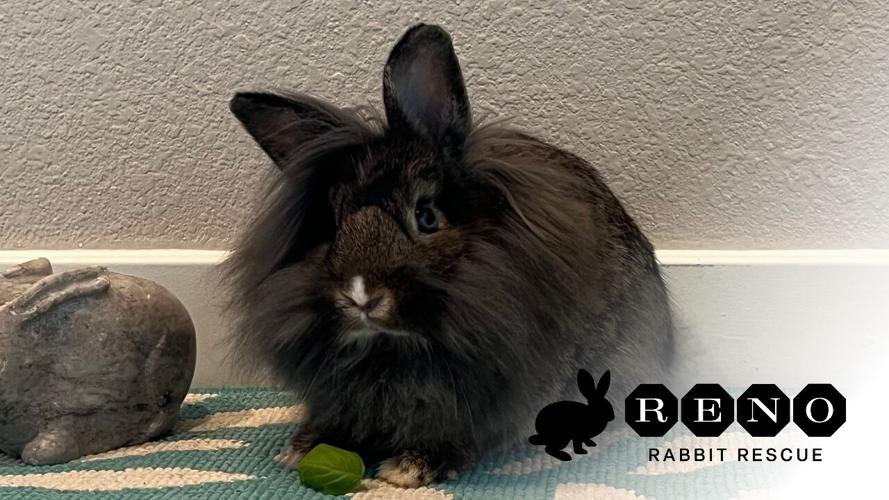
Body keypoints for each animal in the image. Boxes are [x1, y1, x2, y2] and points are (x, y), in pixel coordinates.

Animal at [223, 23, 674, 487]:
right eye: (332, 224)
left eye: (426, 216)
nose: (361, 295)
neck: (394, 350)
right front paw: (302, 449)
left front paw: (409, 468)